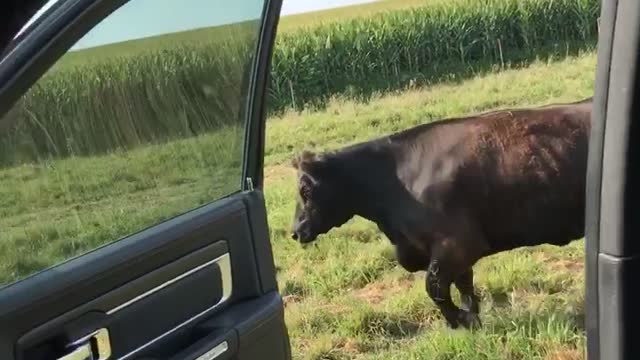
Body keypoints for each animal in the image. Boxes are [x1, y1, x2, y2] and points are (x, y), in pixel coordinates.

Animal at [288, 97, 592, 330]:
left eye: (306, 188)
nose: (295, 231)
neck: (395, 180)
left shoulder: (458, 244)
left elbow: (434, 287)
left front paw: (460, 320)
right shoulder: (451, 253)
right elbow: (464, 284)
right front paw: (472, 318)